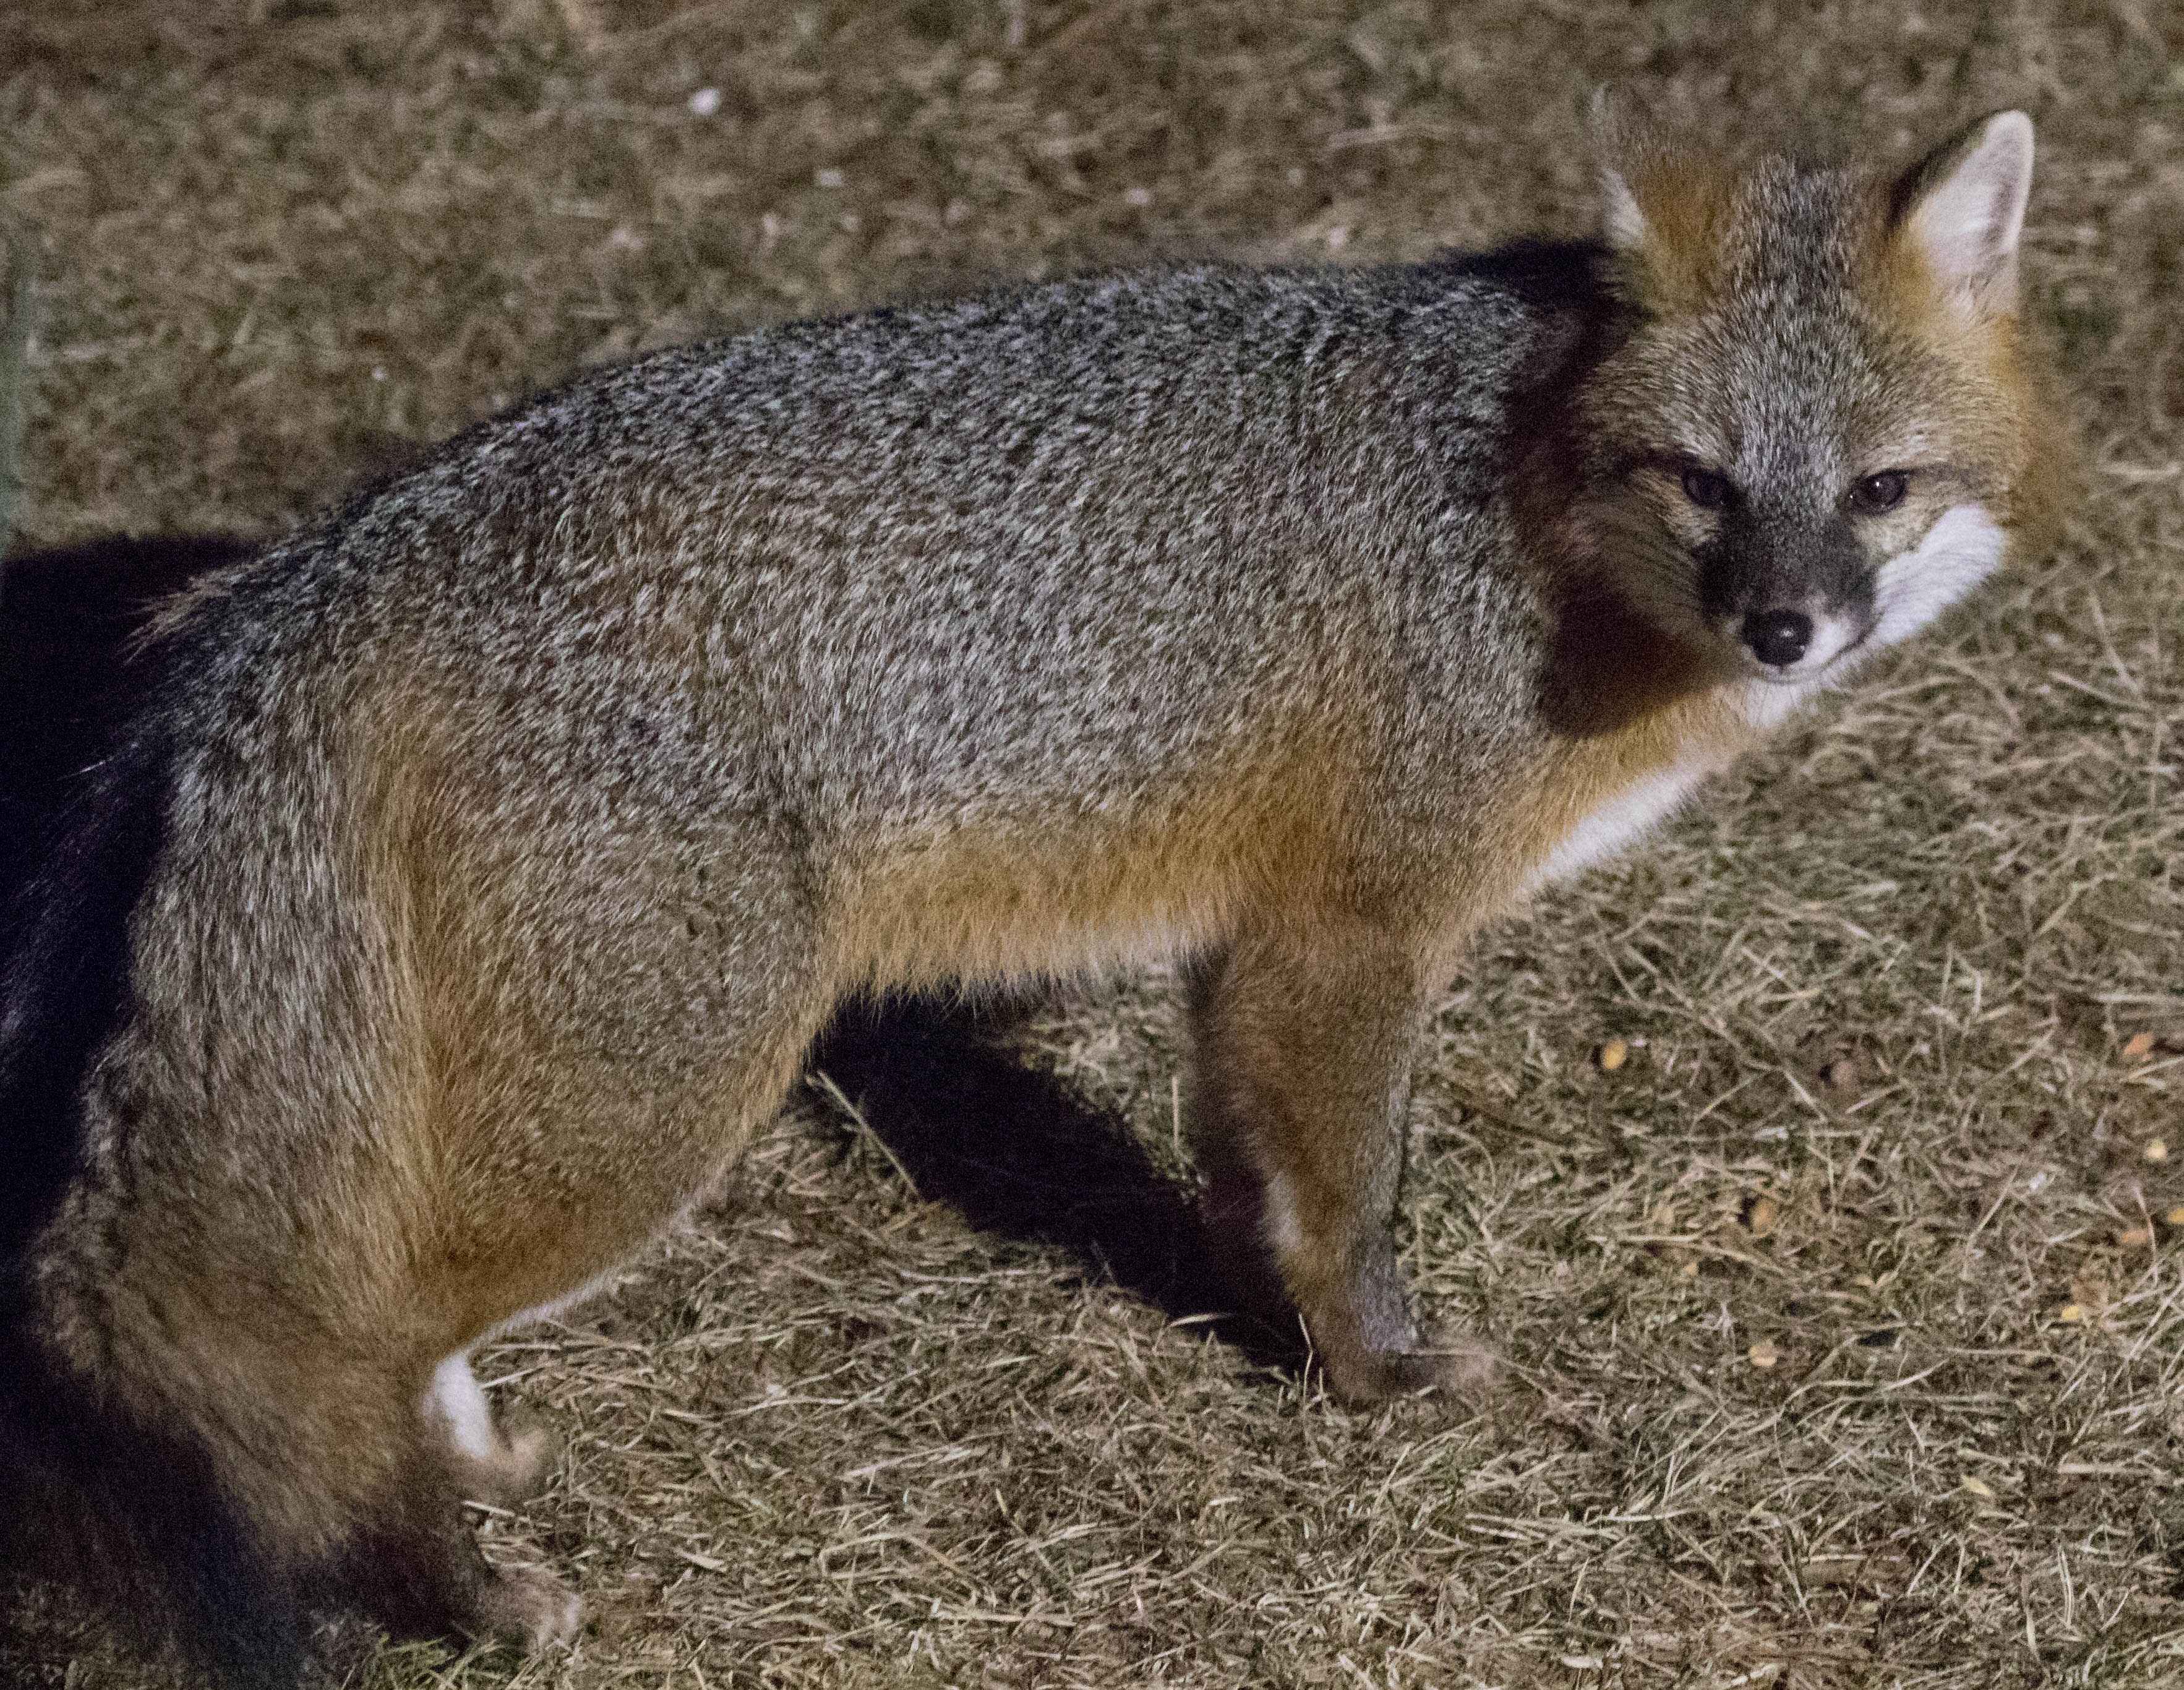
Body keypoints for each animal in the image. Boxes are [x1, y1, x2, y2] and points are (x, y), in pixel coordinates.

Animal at [0, 107, 2064, 1686]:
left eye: (1878, 489)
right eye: (1703, 481)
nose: (1786, 627)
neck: (1517, 479)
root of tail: (325, 566)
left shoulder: (1249, 947)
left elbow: (1247, 1174)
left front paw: (1266, 1333)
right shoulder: (1354, 926)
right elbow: (1351, 1197)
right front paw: (1382, 1379)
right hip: (655, 1099)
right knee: (318, 1341)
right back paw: (463, 1595)